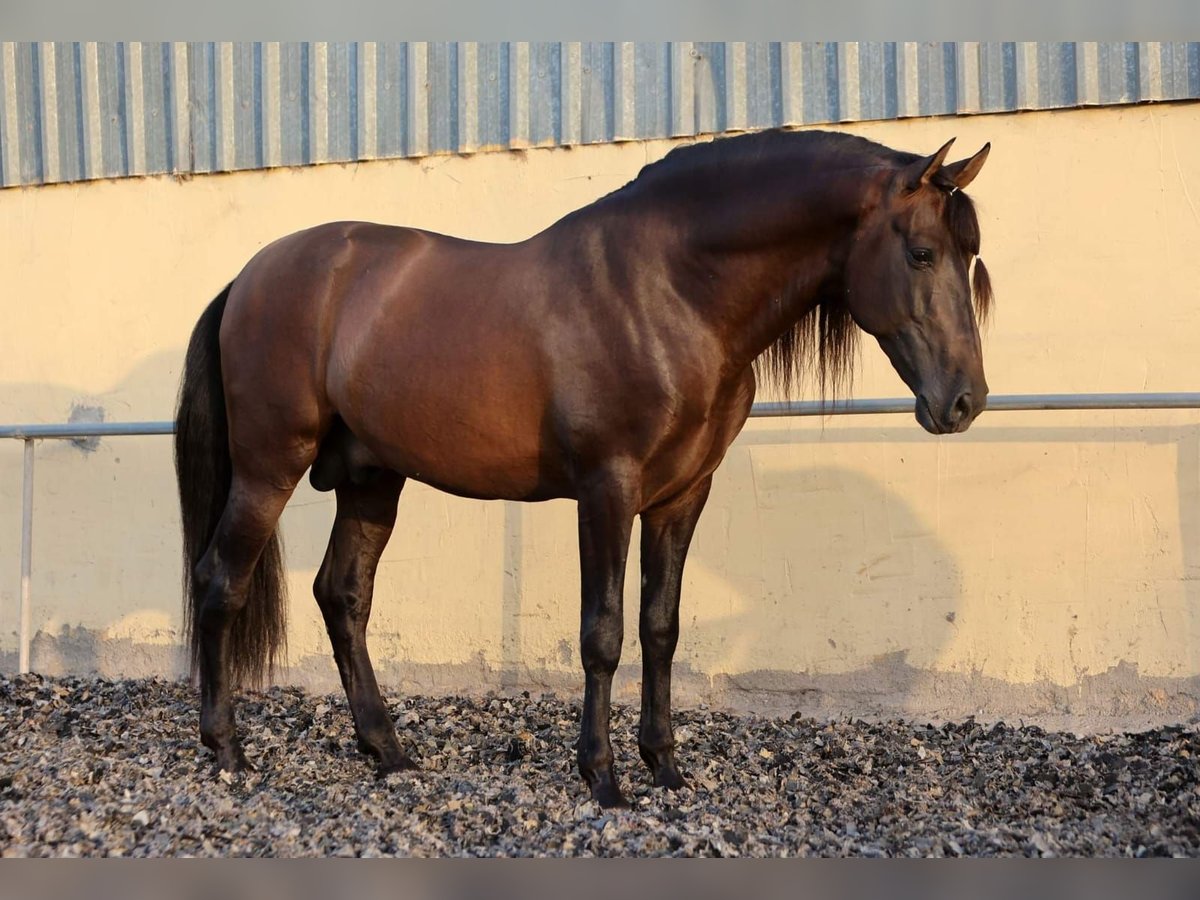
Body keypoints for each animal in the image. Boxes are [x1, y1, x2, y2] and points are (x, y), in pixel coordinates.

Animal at [171, 128, 993, 811]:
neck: (670, 292)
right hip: (269, 469)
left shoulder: (682, 496)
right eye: (921, 253)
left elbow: (660, 626)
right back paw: (227, 750)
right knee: (220, 581)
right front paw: (602, 776)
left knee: (343, 596)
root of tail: (250, 278)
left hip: (373, 481)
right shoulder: (607, 488)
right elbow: (602, 632)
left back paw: (389, 751)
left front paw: (664, 766)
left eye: (972, 259)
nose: (964, 400)